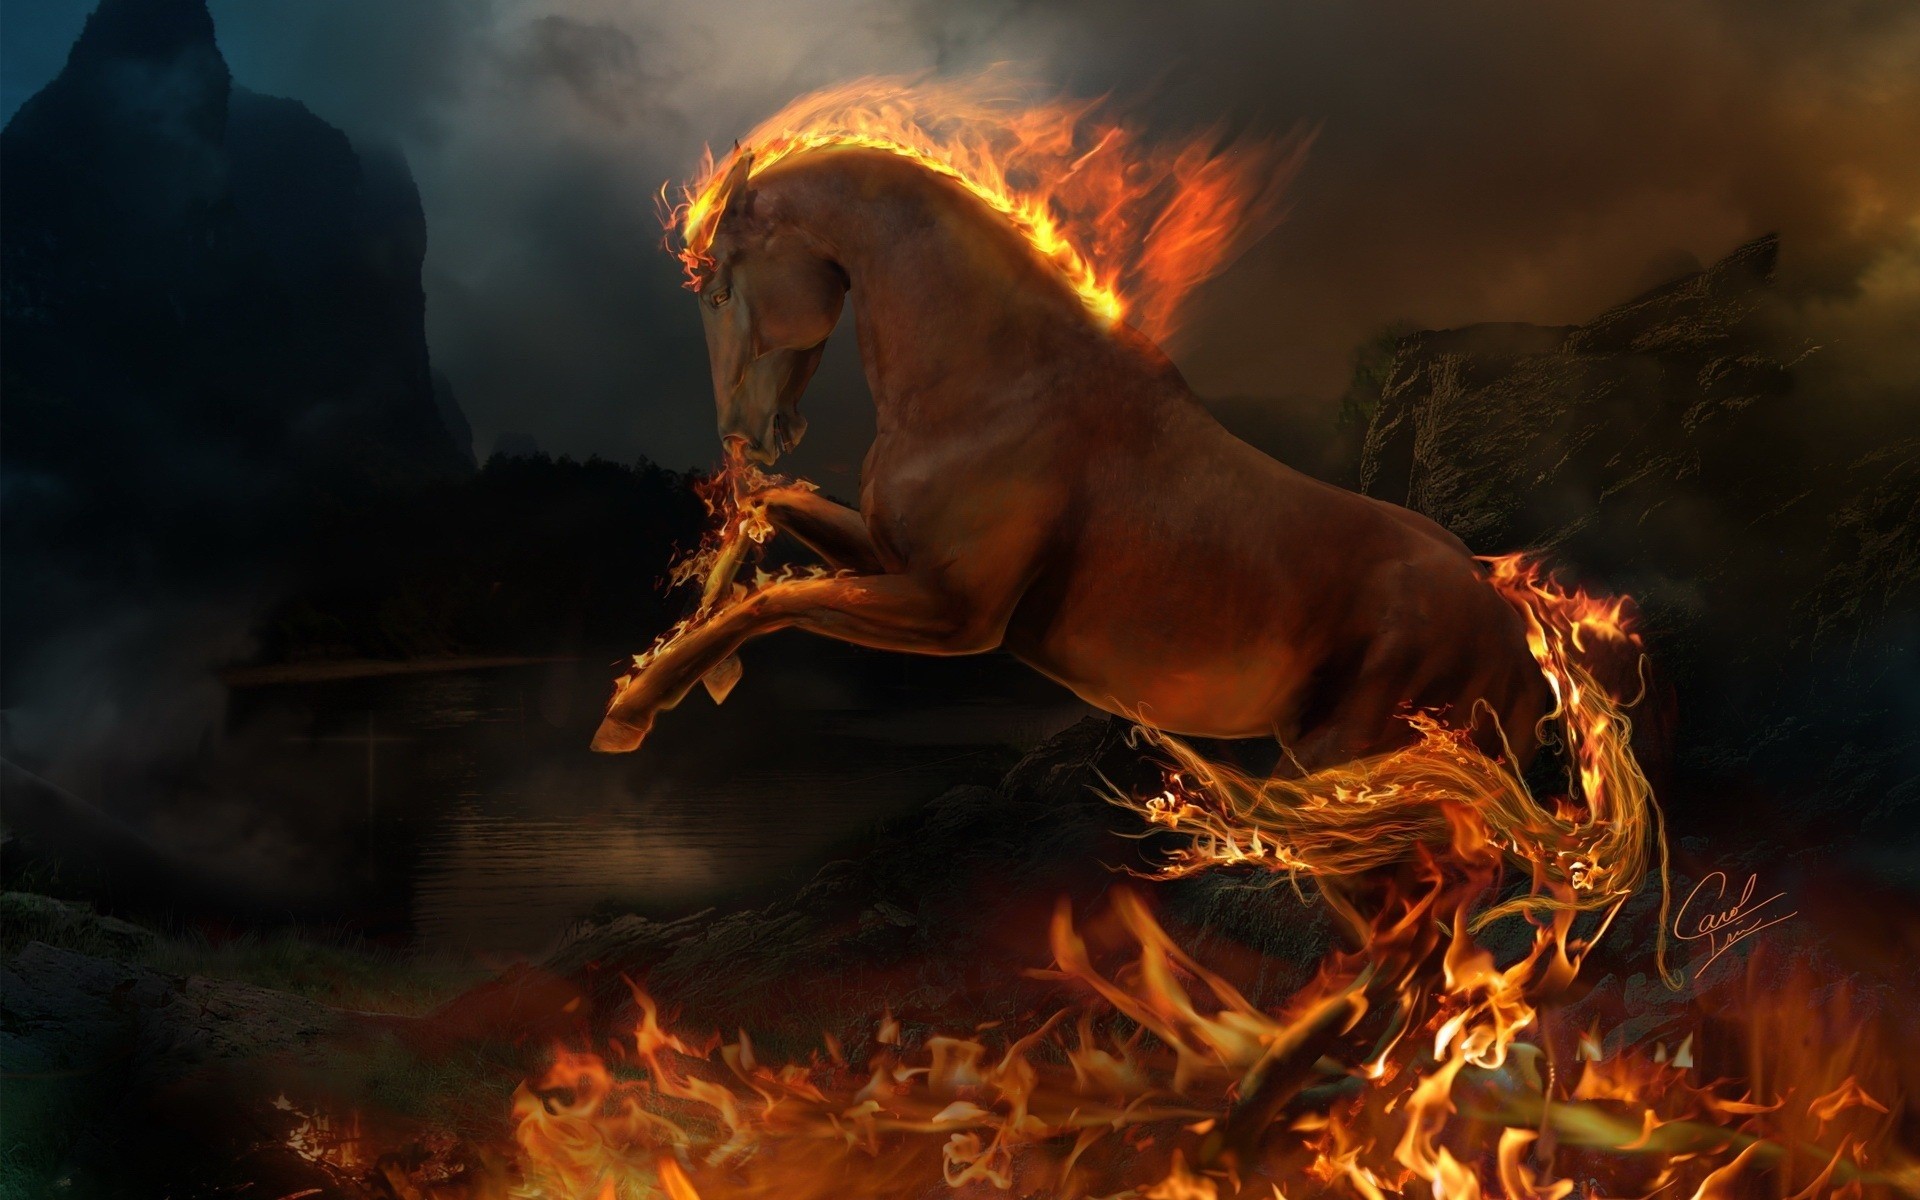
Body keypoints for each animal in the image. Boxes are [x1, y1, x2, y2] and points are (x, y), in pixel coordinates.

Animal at [590, 146, 1553, 771]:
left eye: (718, 288)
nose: (743, 432)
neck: (998, 381)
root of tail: (1512, 621)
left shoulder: (953, 613)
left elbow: (776, 600)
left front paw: (635, 708)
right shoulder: (891, 560)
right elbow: (776, 535)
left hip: (1347, 761)